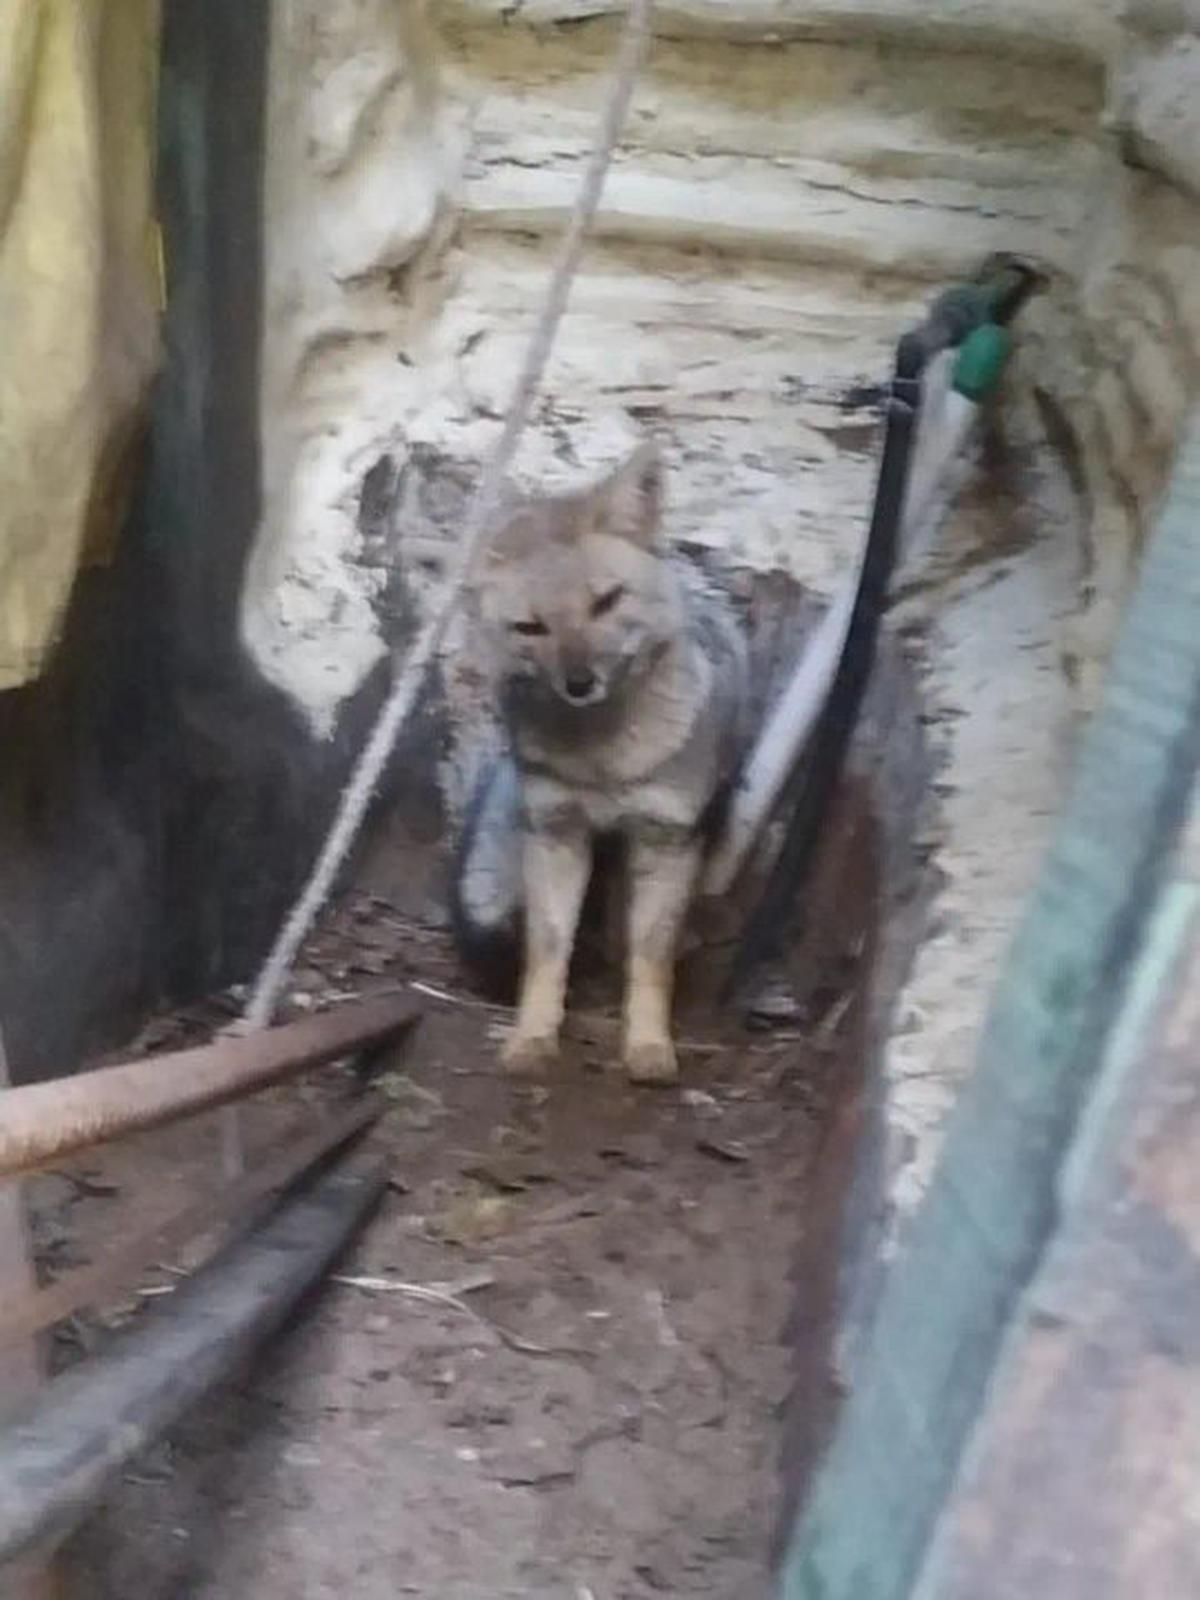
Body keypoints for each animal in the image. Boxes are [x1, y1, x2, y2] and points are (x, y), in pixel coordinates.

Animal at [453, 441, 750, 1084]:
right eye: (531, 627)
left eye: (606, 601)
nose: (580, 682)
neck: (605, 763)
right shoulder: (555, 831)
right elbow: (546, 950)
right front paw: (532, 1037)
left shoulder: (668, 838)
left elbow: (652, 957)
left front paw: (649, 1043)